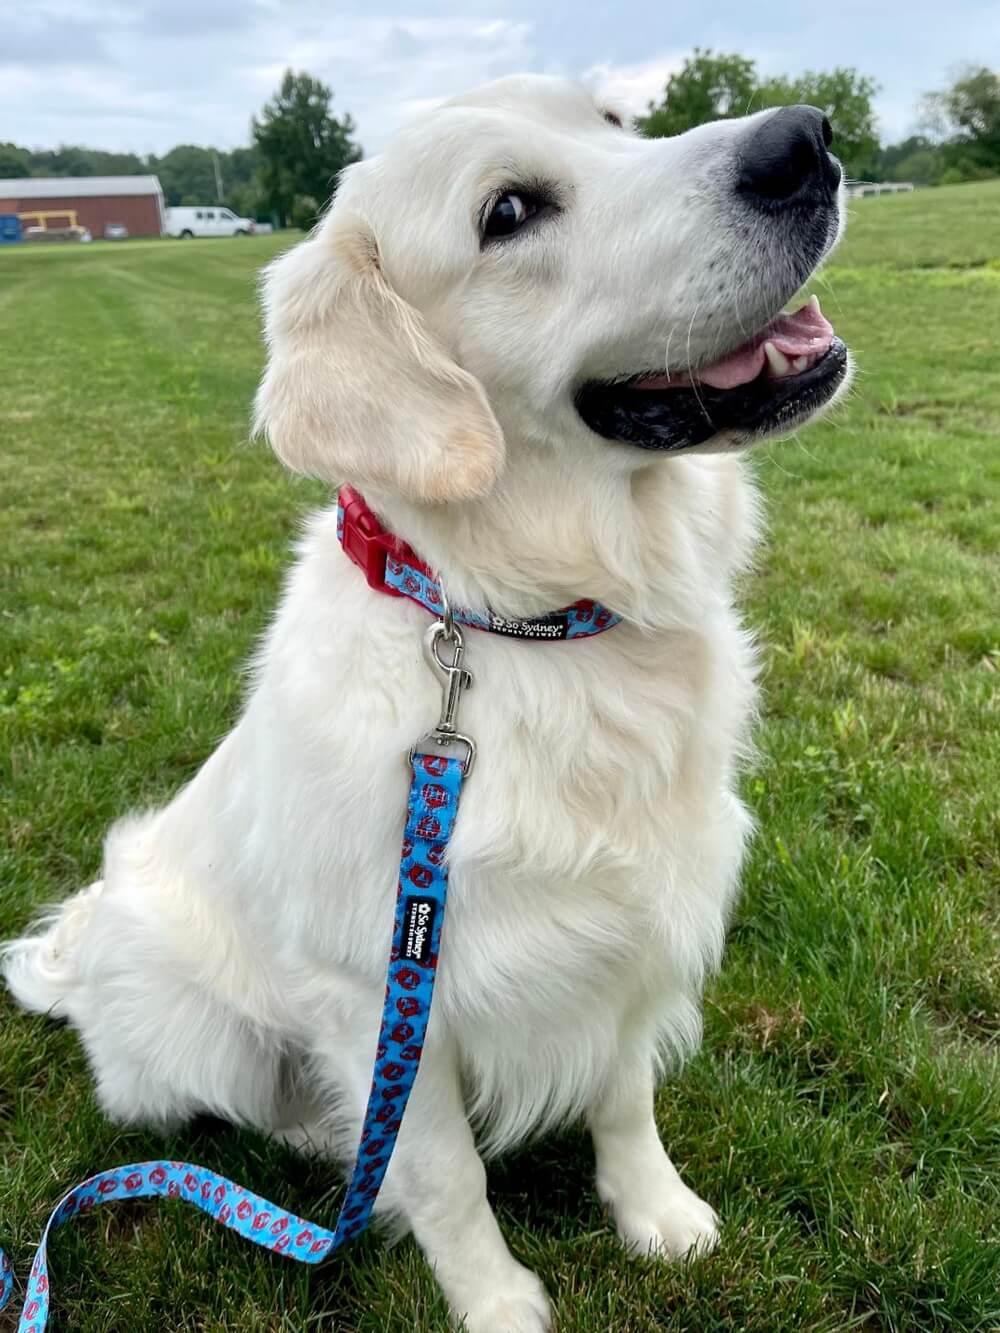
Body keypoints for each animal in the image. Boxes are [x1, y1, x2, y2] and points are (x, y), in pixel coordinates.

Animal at [5, 75, 853, 1333]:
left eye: (614, 122)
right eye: (507, 213)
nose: (803, 142)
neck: (529, 621)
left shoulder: (636, 918)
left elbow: (624, 1090)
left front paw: (655, 1212)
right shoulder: (380, 989)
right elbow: (444, 1168)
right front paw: (496, 1300)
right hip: (189, 1023)